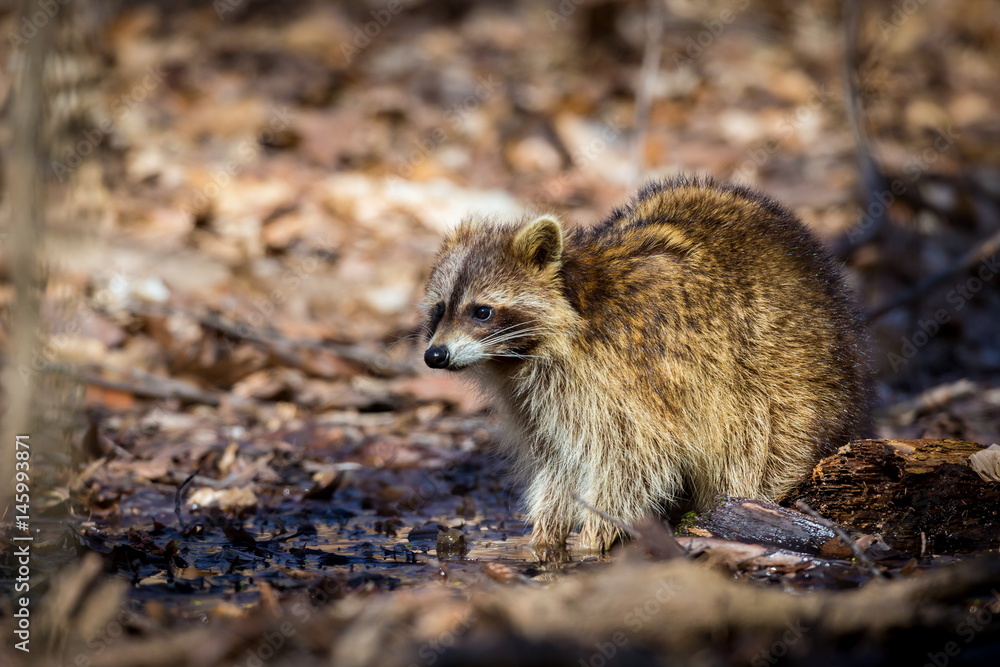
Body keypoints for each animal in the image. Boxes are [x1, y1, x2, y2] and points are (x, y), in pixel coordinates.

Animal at [421, 176, 873, 557]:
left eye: (481, 311)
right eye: (440, 309)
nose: (434, 356)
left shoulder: (630, 376)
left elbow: (632, 461)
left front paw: (593, 537)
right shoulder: (537, 398)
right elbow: (558, 460)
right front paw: (547, 531)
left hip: (786, 376)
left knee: (756, 446)